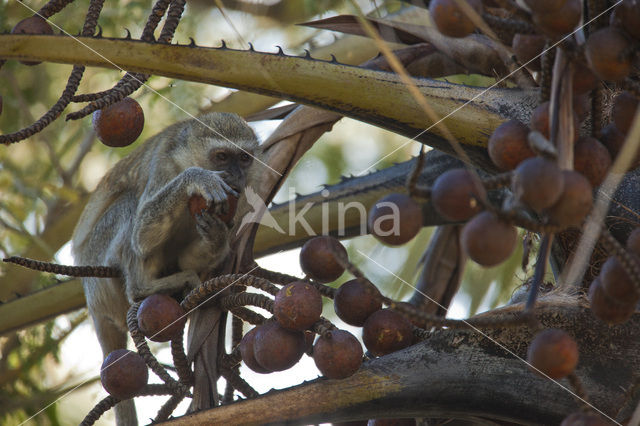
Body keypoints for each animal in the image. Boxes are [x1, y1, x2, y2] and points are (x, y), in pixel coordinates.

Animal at [72, 111, 258, 424]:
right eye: (222, 156)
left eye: (243, 159)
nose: (236, 175)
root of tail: (90, 298)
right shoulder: (163, 164)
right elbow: (142, 236)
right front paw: (195, 178)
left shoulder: (240, 197)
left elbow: (191, 254)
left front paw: (217, 235)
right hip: (98, 256)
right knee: (130, 207)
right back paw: (142, 288)